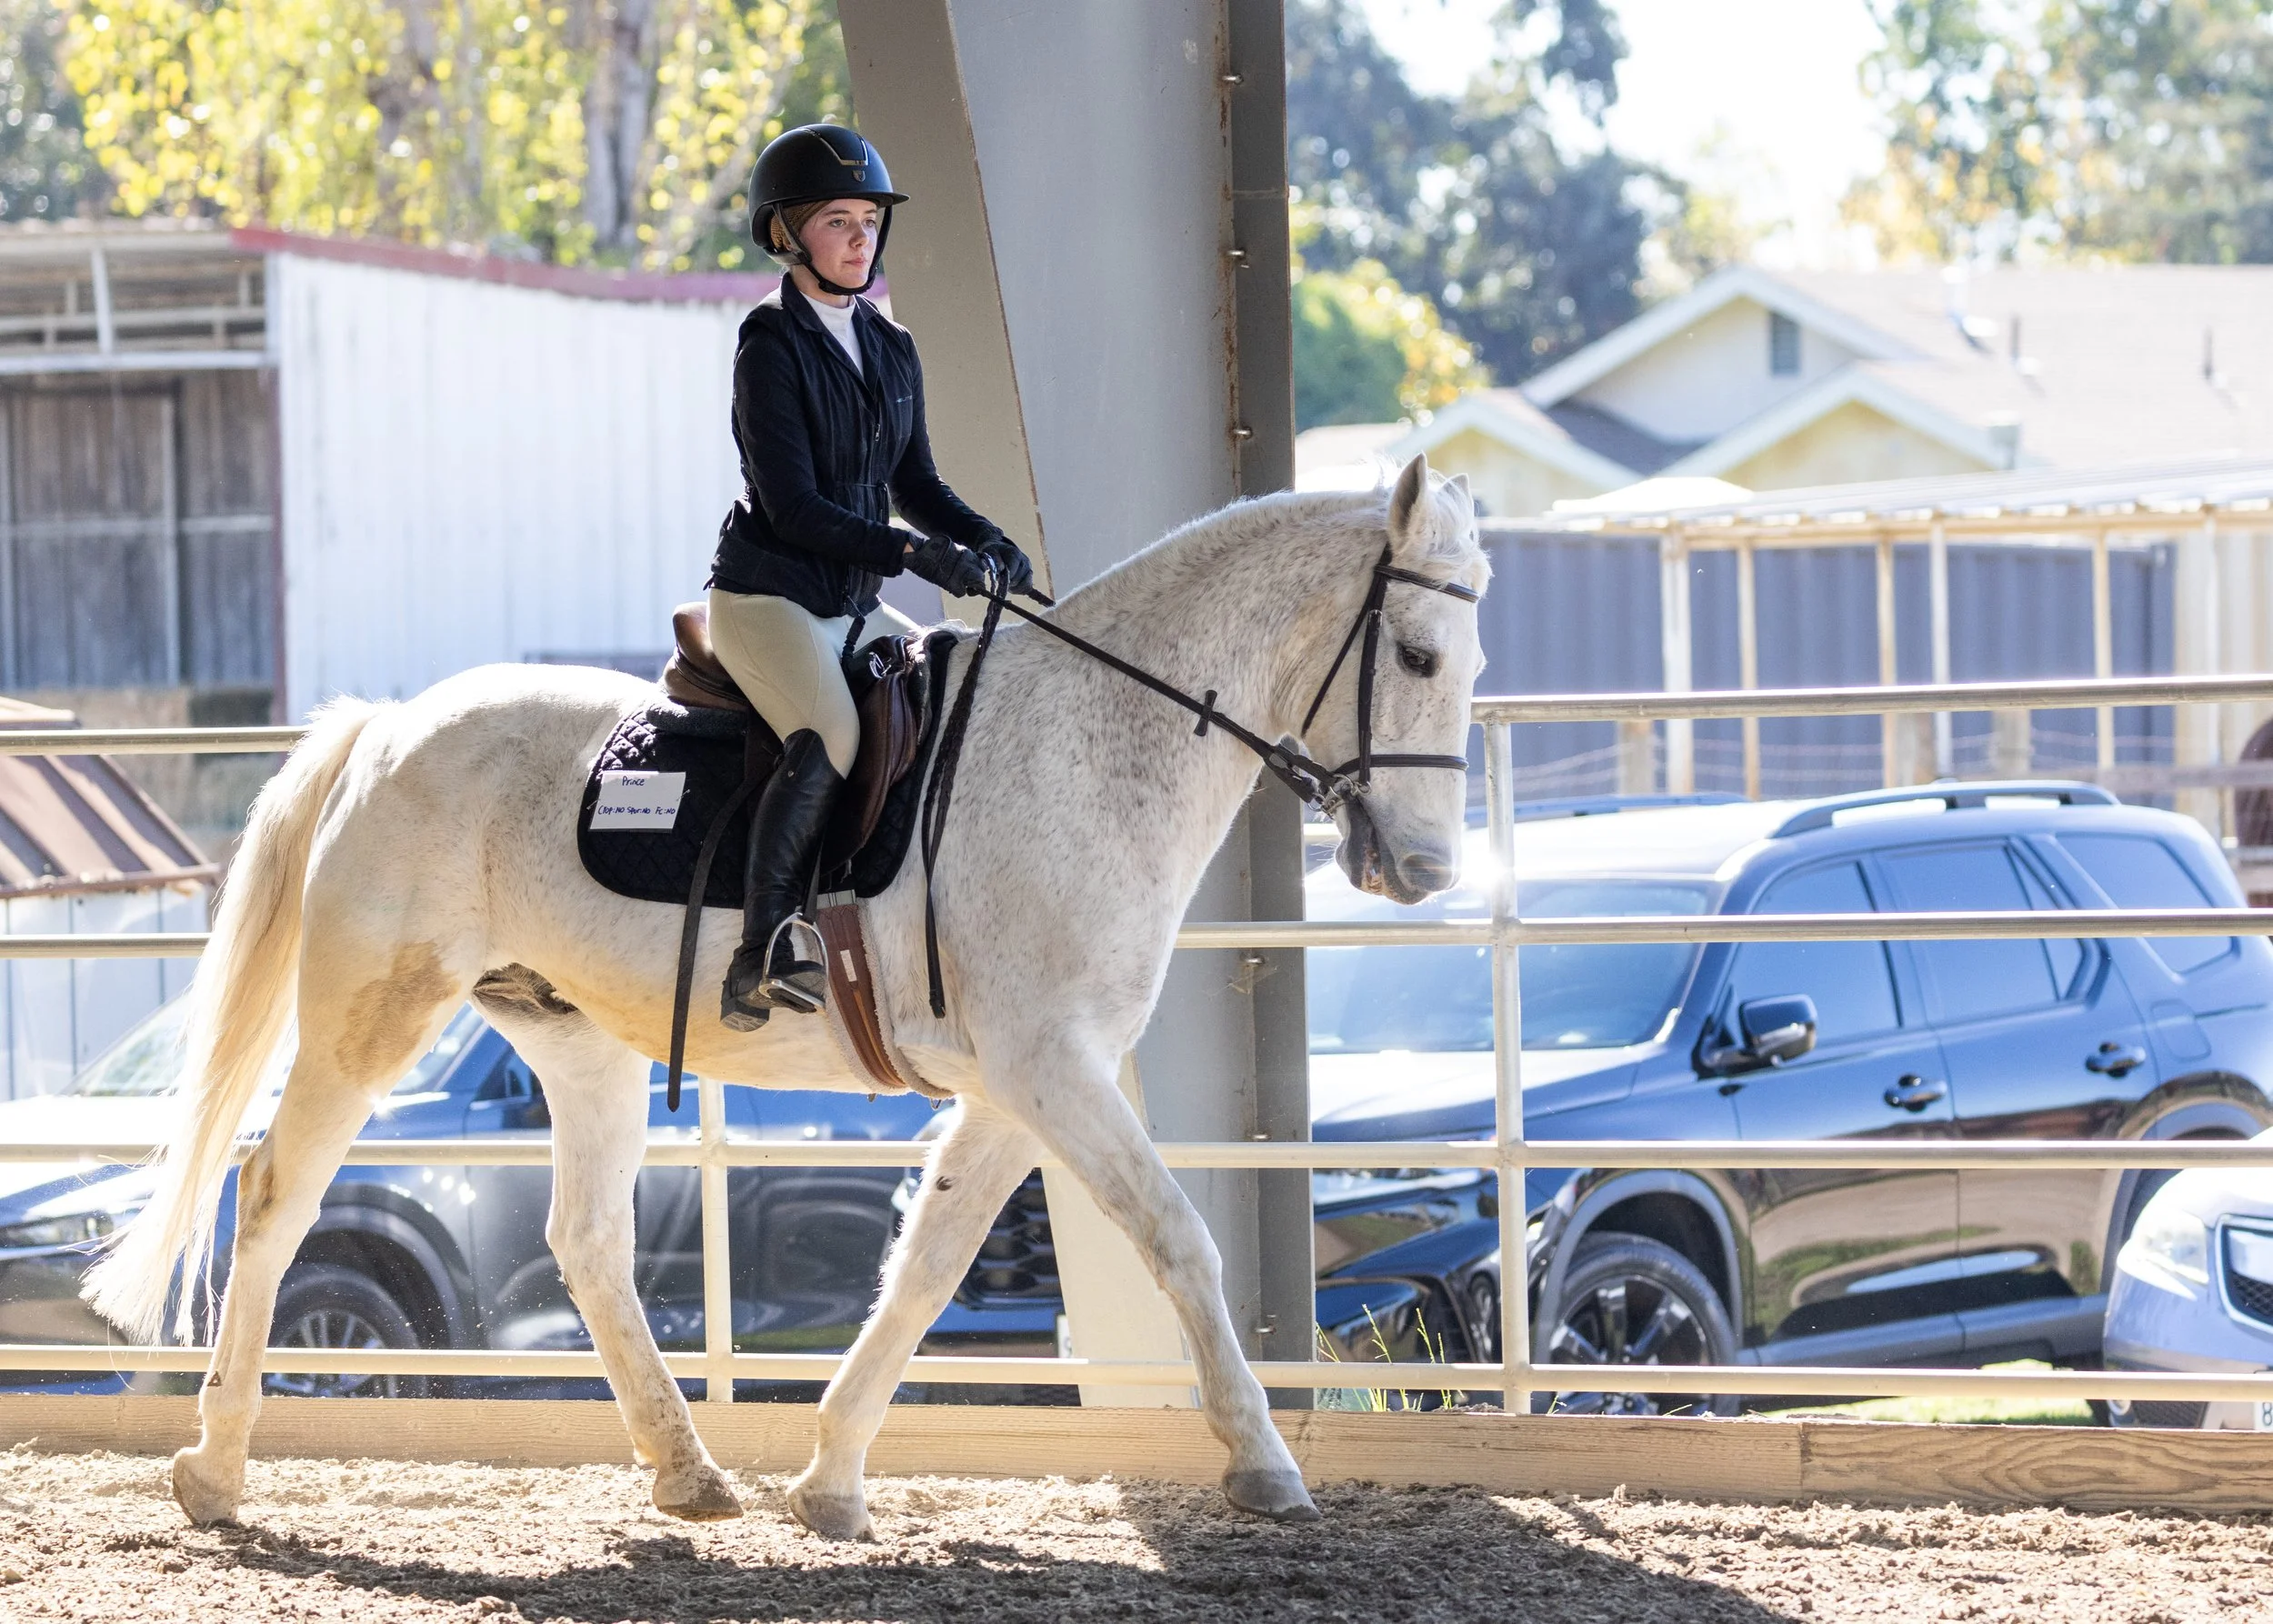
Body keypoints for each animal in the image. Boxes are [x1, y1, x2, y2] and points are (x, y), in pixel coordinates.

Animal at [85, 453, 1488, 1537]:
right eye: (1418, 654)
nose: (1425, 870)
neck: (1093, 746)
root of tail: (385, 726)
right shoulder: (1052, 1068)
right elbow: (1177, 1238)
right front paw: (1264, 1463)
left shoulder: (1015, 1087)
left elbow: (925, 1268)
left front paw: (828, 1480)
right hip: (370, 1017)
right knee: (276, 1194)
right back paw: (213, 1470)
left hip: (578, 1043)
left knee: (586, 1242)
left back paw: (689, 1470)